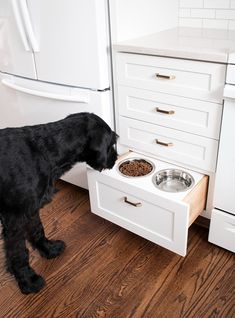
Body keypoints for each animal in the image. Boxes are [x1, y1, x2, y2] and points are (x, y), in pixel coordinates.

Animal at [0, 113, 117, 294]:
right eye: (112, 143)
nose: (115, 159)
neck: (45, 151)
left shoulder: (32, 208)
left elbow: (38, 229)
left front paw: (48, 249)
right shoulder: (15, 219)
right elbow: (19, 252)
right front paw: (27, 280)